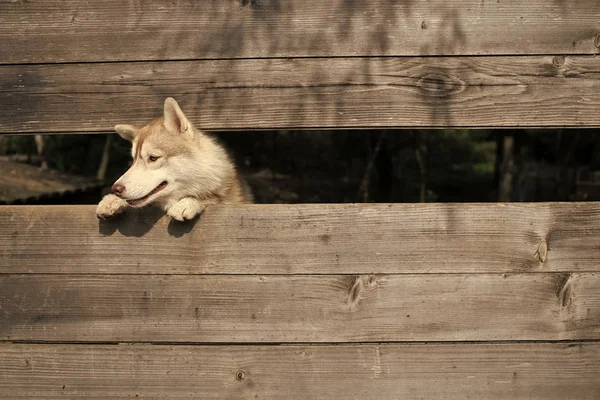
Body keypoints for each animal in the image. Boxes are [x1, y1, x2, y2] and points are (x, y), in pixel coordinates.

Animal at [95, 97, 253, 222]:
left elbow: (214, 199)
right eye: (134, 160)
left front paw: (188, 202)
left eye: (153, 158)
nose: (116, 189)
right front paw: (113, 200)